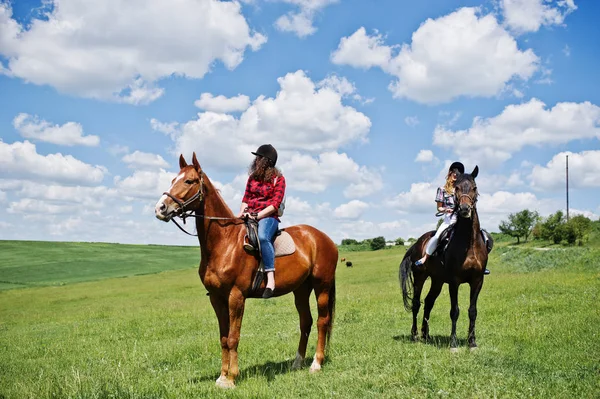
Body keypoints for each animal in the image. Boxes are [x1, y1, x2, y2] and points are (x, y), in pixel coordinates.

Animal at [155, 153, 338, 388]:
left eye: (189, 181)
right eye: (172, 180)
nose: (160, 208)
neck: (225, 243)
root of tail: (324, 238)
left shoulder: (236, 296)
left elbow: (234, 337)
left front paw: (232, 378)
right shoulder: (216, 298)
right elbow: (224, 338)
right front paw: (222, 376)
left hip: (321, 286)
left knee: (323, 321)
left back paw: (316, 364)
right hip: (301, 289)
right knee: (305, 321)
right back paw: (297, 363)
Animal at [398, 166, 488, 354]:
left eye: (474, 188)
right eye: (457, 188)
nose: (464, 209)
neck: (469, 243)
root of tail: (418, 243)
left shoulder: (477, 280)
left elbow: (472, 311)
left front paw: (472, 343)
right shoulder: (454, 282)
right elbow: (454, 311)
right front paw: (453, 344)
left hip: (437, 281)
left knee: (428, 302)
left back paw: (426, 335)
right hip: (420, 278)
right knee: (416, 303)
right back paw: (415, 335)